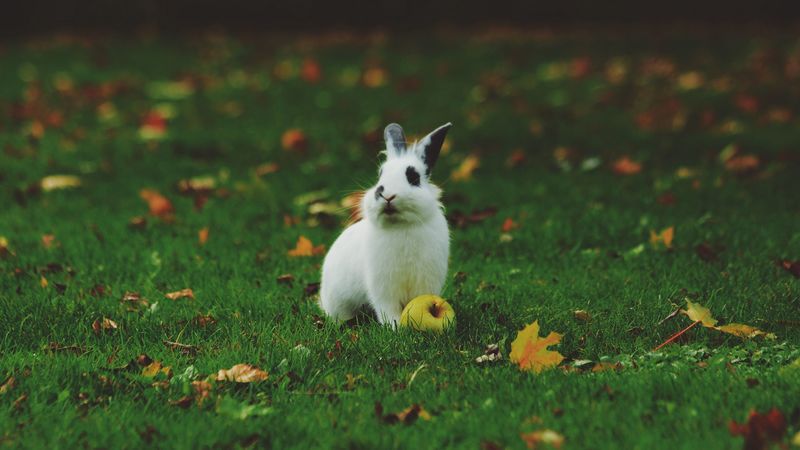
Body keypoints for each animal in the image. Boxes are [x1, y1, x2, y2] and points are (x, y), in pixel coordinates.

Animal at [320, 122, 452, 327]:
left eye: (413, 177)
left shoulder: (425, 282)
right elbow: (387, 308)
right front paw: (395, 327)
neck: (401, 225)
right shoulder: (383, 287)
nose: (386, 195)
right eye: (380, 175)